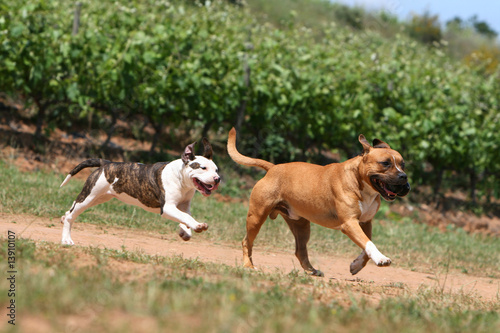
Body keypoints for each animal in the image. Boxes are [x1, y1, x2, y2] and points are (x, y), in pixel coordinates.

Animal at [59, 137, 219, 244]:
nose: (217, 179)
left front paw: (185, 231)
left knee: (70, 210)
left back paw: (63, 220)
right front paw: (198, 226)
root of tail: (106, 163)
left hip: (98, 197)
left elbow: (185, 217)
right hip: (89, 196)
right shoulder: (167, 208)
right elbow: (185, 217)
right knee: (71, 216)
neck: (181, 179)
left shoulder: (184, 206)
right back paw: (66, 240)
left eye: (216, 169)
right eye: (203, 168)